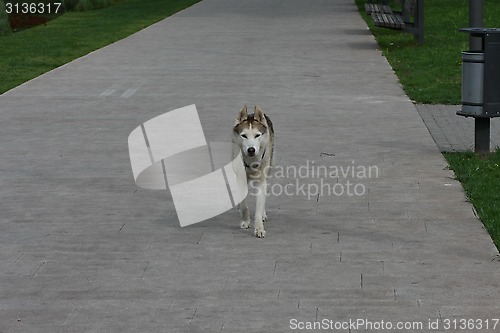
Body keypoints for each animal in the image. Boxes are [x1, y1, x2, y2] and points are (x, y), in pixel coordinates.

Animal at [233, 105, 276, 237]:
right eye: (244, 135)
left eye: (257, 135)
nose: (251, 149)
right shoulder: (240, 178)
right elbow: (243, 204)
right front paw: (245, 220)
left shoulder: (262, 180)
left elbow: (259, 204)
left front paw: (259, 229)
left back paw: (263, 214)